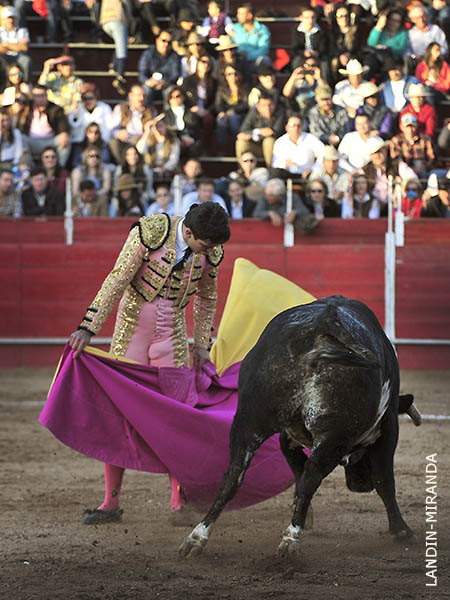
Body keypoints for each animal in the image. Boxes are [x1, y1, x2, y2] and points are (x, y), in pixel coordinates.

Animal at [181, 296, 420, 556]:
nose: (360, 485)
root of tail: (322, 323)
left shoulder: (288, 436)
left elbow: (296, 468)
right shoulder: (388, 428)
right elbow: (384, 480)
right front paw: (401, 531)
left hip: (248, 420)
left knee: (233, 475)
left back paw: (197, 538)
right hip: (334, 435)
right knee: (312, 475)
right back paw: (290, 541)